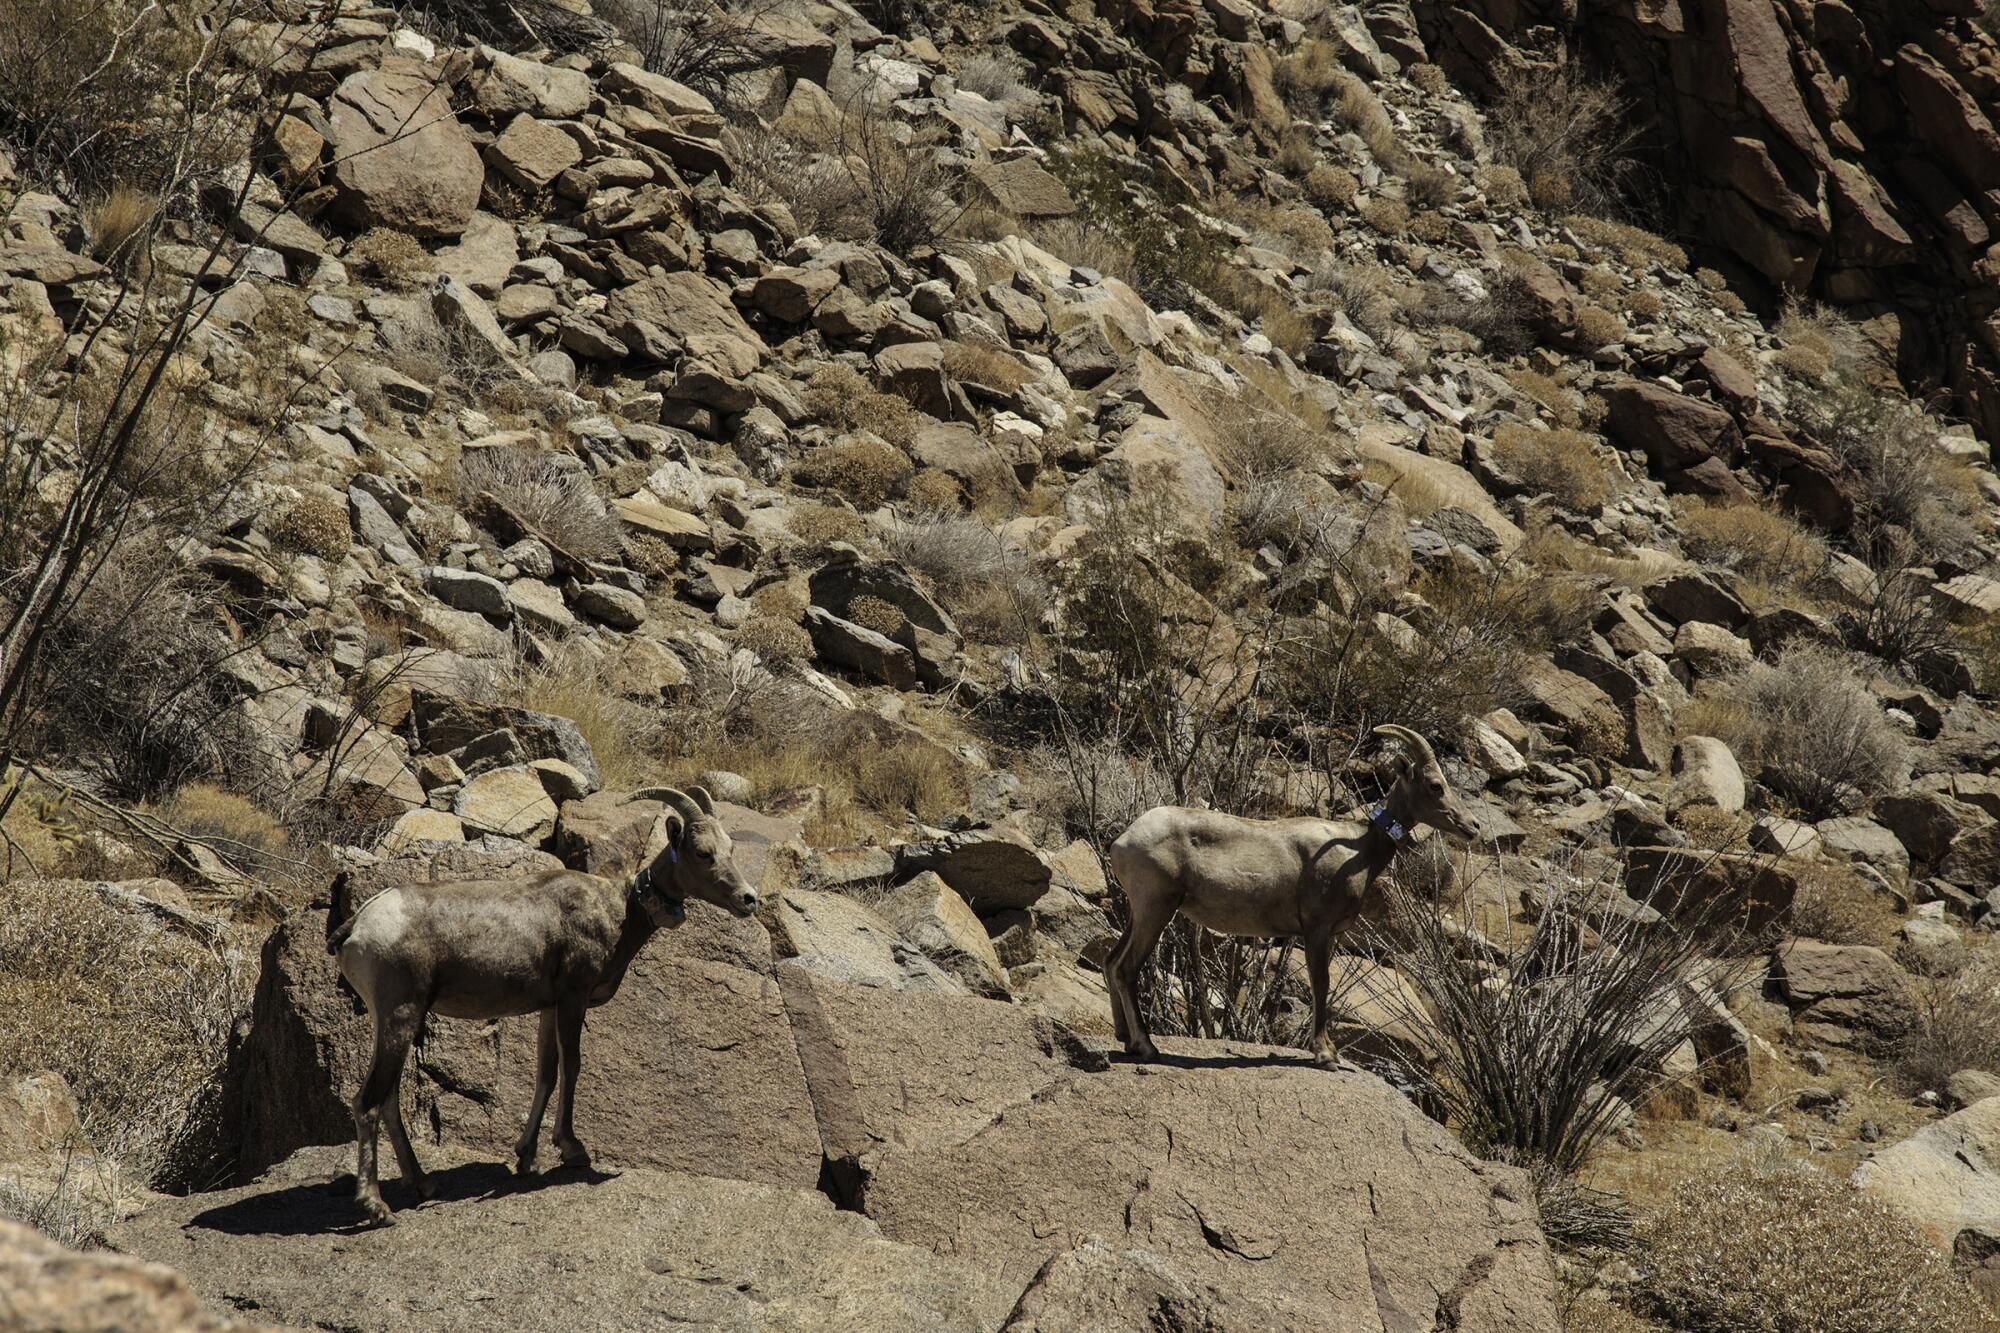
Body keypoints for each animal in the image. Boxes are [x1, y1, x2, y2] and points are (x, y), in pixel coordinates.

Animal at [324, 784, 752, 1216]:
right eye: (703, 852)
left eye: (731, 848)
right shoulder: (572, 999)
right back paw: (376, 1206)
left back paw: (424, 1185)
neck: (619, 910)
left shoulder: (549, 1008)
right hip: (402, 1013)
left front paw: (526, 1157)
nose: (748, 899)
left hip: (393, 1019)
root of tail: (357, 927)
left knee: (390, 1099)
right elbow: (572, 1066)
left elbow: (546, 1074)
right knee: (368, 1102)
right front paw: (572, 1149)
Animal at [1104, 720, 1480, 1064]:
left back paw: (1125, 1039)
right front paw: (1325, 1055)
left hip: (1141, 912)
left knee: (1111, 961)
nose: (1473, 826)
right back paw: (1146, 1046)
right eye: (1435, 785)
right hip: (1156, 909)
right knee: (1126, 968)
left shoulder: (1327, 934)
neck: (1360, 849)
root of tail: (1122, 841)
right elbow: (1321, 984)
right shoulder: (1316, 929)